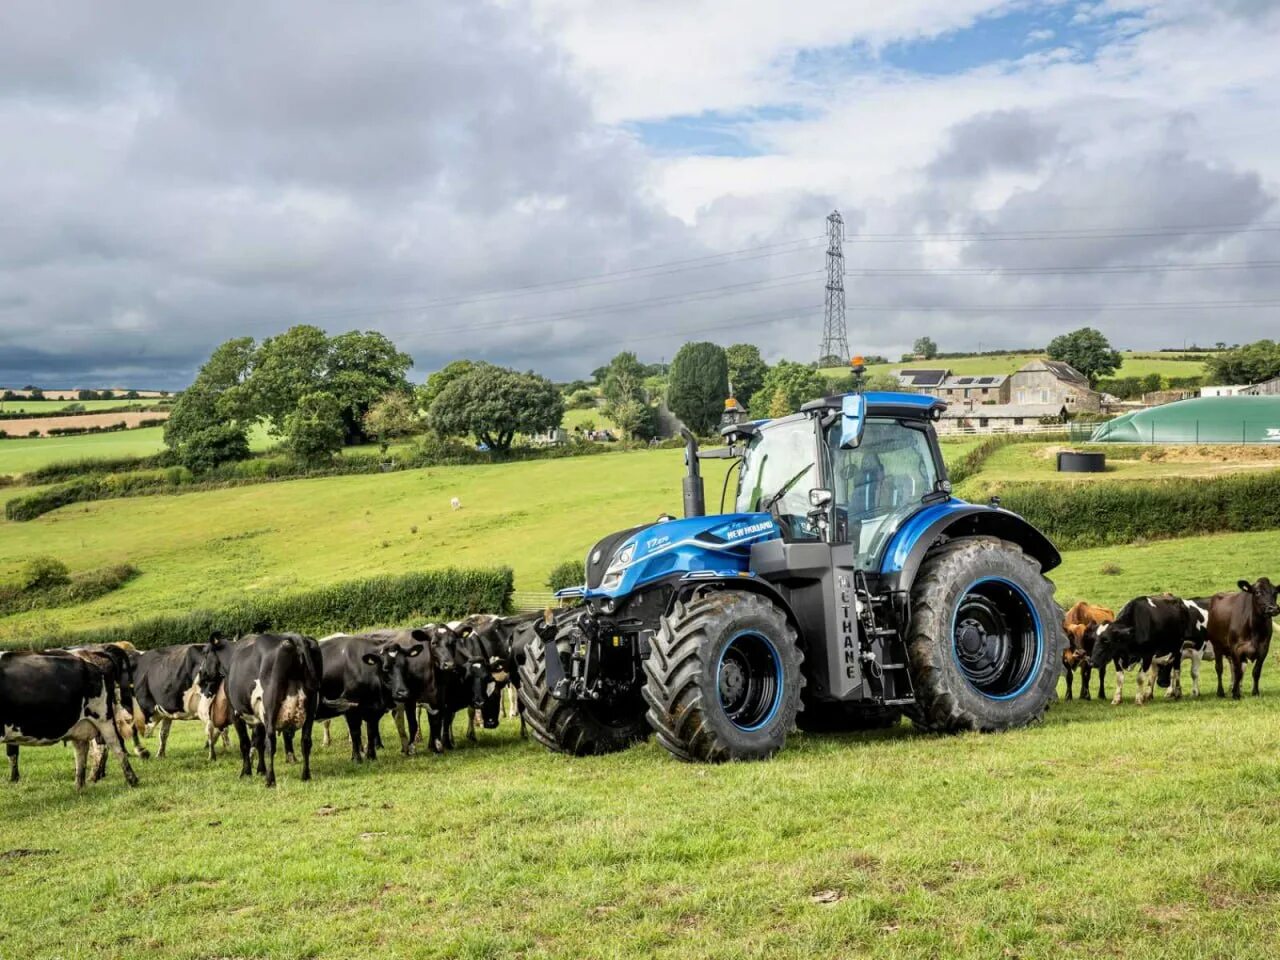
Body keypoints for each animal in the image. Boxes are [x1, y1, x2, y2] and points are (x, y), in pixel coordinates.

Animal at [0, 650, 140, 793]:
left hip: (104, 718)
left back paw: (131, 780)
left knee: (115, 745)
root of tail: (95, 652)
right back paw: (80, 786)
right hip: (81, 726)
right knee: (83, 750)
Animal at [199, 634, 322, 783]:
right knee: (306, 741)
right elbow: (258, 742)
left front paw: (246, 772)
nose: (201, 674)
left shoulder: (235, 713)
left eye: (205, 653)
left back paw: (270, 780)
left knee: (271, 741)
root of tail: (293, 638)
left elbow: (245, 743)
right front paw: (261, 770)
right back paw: (305, 775)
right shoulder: (258, 716)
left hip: (270, 706)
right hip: (311, 707)